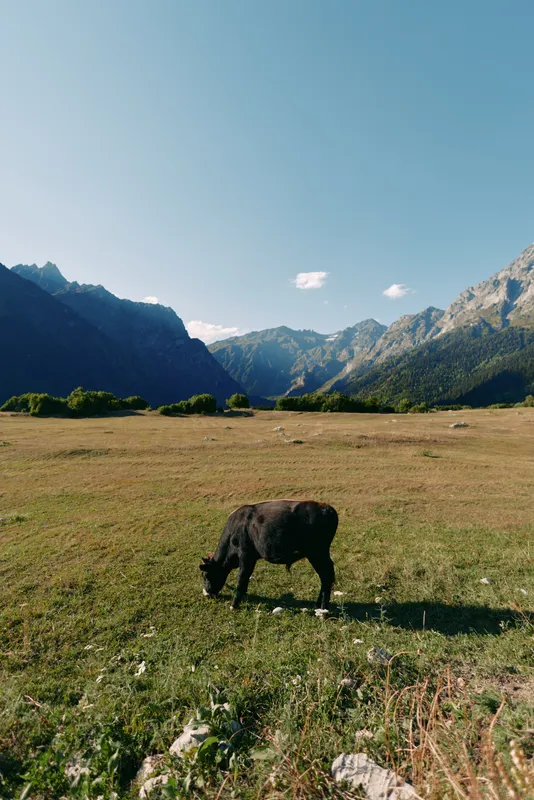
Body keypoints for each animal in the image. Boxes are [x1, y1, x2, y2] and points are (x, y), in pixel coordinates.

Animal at [199, 499, 338, 610]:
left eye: (206, 575)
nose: (207, 594)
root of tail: (326, 507)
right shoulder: (252, 558)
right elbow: (245, 579)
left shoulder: (245, 556)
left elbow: (241, 578)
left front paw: (234, 605)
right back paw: (318, 604)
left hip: (317, 554)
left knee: (326, 576)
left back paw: (323, 609)